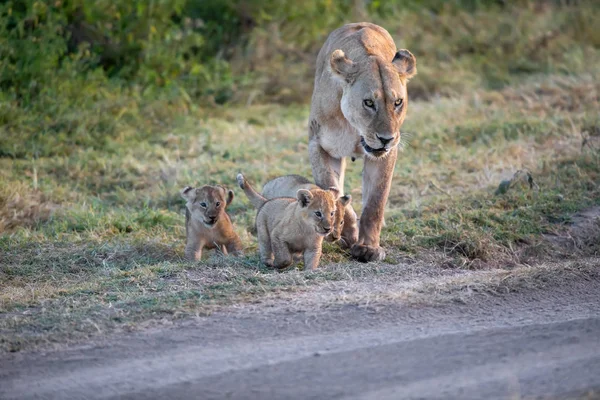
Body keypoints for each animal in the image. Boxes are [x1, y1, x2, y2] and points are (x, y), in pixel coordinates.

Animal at [308, 23, 414, 264]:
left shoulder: (386, 155)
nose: (386, 138)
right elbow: (333, 191)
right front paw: (348, 231)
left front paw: (368, 247)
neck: (356, 131)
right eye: (368, 103)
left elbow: (376, 201)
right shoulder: (318, 145)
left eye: (397, 102)